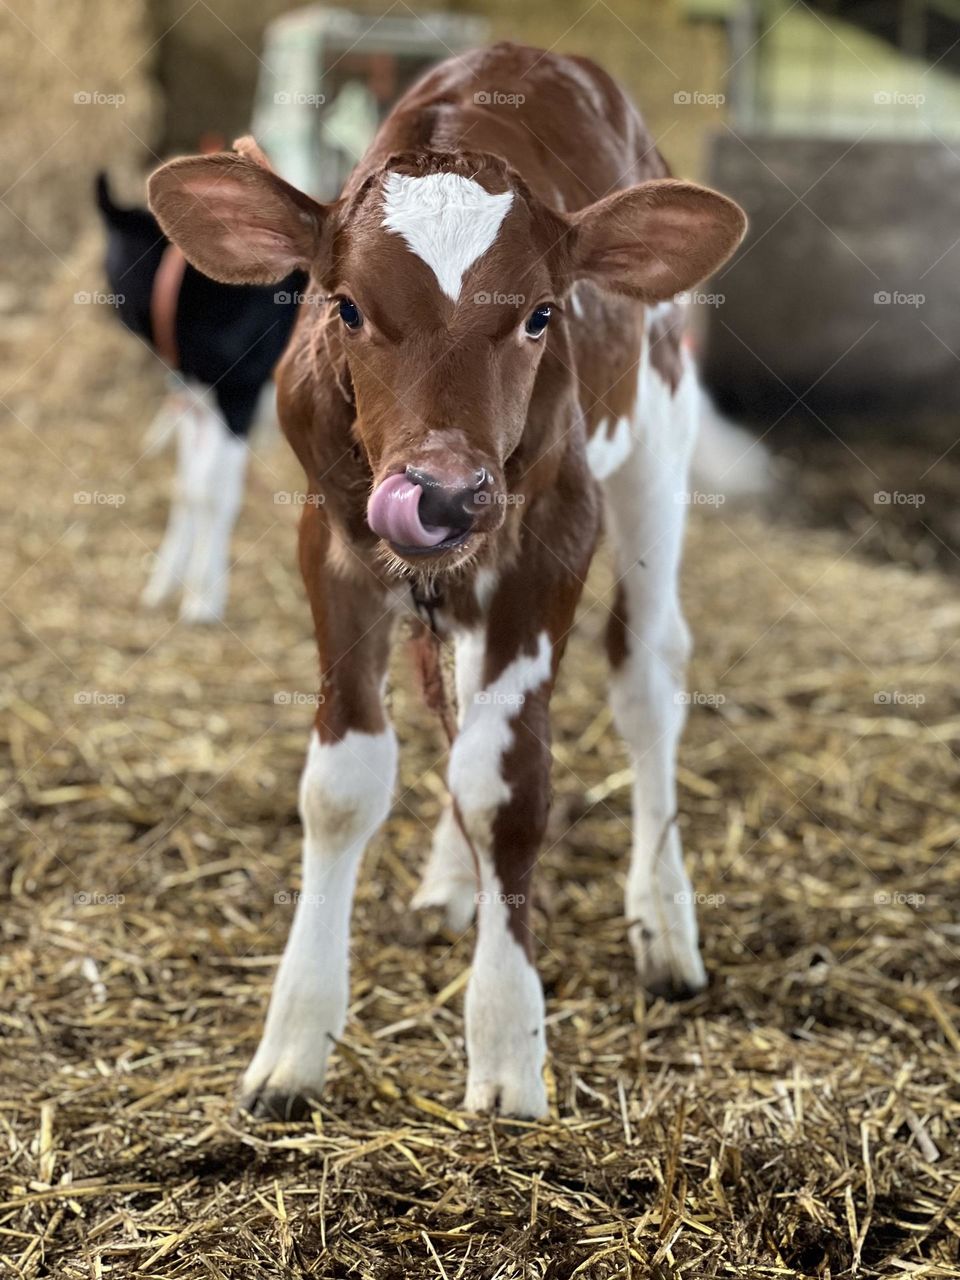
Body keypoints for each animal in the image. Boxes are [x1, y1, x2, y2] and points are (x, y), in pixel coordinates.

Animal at [95, 173, 304, 621]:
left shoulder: (239, 391)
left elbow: (214, 492)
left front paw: (203, 601)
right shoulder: (195, 397)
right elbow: (188, 487)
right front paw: (163, 586)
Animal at [147, 41, 747, 1120]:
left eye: (542, 315)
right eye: (346, 306)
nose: (442, 492)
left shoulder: (554, 534)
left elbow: (508, 787)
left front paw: (507, 1043)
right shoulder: (330, 541)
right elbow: (344, 785)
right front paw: (294, 1043)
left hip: (659, 442)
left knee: (647, 675)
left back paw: (665, 922)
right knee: (467, 702)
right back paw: (451, 882)